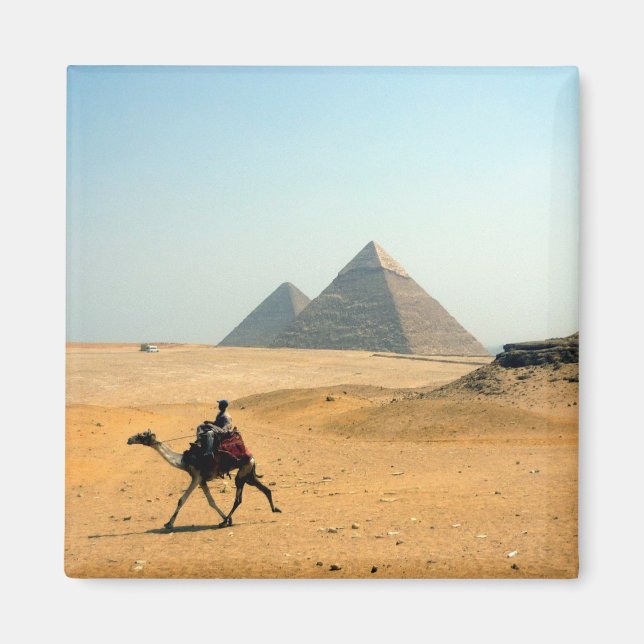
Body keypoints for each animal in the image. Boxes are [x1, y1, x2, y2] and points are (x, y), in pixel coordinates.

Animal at [126, 429, 281, 530]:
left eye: (142, 435)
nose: (129, 439)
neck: (183, 461)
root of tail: (252, 457)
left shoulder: (196, 476)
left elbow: (182, 500)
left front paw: (169, 524)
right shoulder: (202, 480)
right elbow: (211, 502)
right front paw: (226, 518)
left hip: (242, 473)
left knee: (238, 500)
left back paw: (224, 522)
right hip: (248, 475)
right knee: (265, 490)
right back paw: (275, 509)